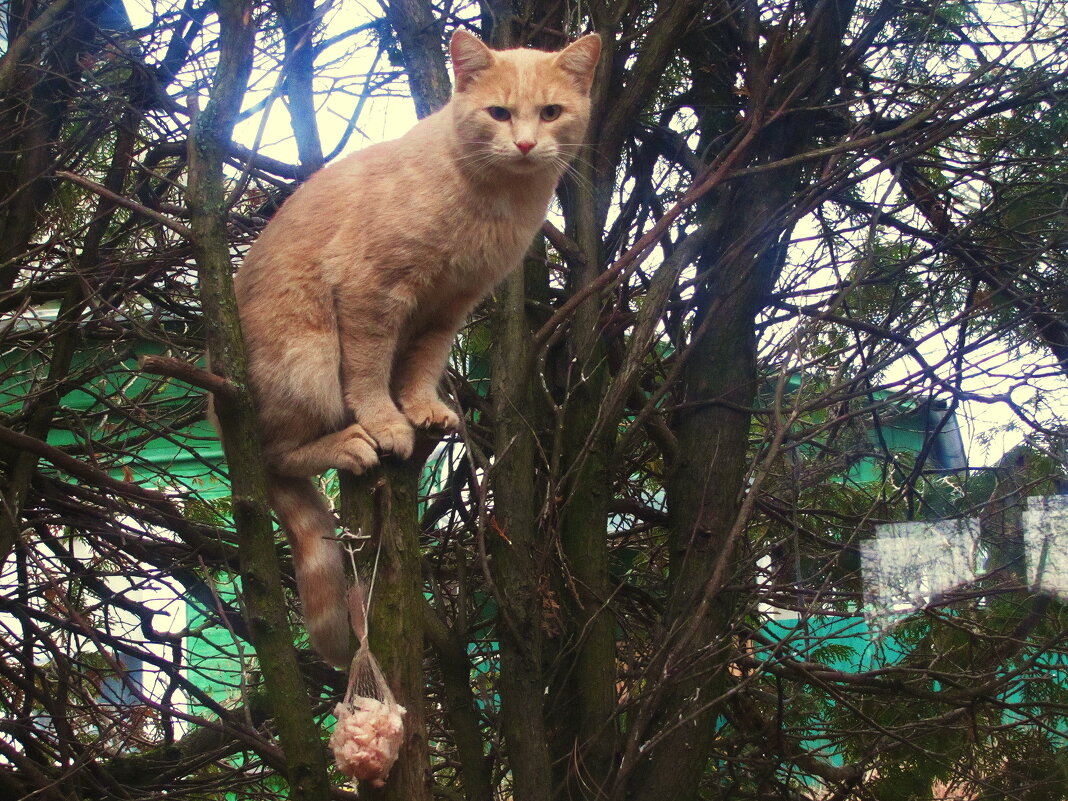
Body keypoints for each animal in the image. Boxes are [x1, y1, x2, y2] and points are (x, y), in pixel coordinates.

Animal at [232, 31, 602, 666]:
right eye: (498, 113)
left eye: (551, 112)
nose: (526, 143)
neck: (496, 204)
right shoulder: (372, 292)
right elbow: (369, 370)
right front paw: (386, 422)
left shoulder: (448, 308)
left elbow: (420, 367)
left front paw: (422, 408)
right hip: (306, 363)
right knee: (275, 453)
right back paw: (347, 443)